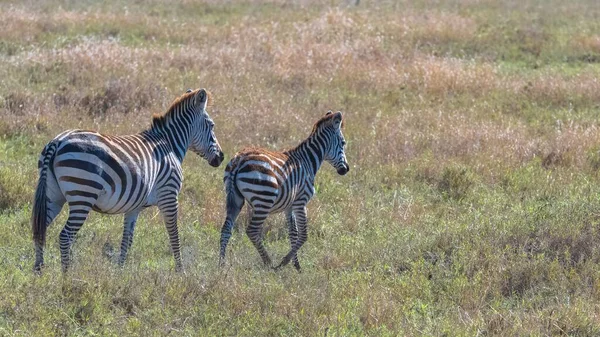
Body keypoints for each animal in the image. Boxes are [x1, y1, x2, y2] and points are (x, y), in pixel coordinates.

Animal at [31, 88, 223, 272]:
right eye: (212, 125)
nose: (221, 157)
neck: (169, 145)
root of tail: (57, 141)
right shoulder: (169, 195)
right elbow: (173, 234)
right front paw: (180, 270)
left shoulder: (134, 207)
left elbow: (127, 240)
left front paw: (119, 271)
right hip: (83, 194)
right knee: (65, 236)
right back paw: (67, 274)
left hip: (53, 195)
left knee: (40, 229)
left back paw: (39, 270)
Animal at [219, 110, 350, 270]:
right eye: (343, 143)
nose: (346, 169)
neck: (308, 161)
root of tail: (239, 160)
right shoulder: (301, 201)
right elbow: (303, 235)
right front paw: (285, 262)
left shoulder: (289, 206)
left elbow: (293, 233)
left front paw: (296, 265)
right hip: (264, 199)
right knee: (252, 231)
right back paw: (269, 263)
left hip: (235, 198)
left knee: (226, 229)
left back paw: (221, 264)